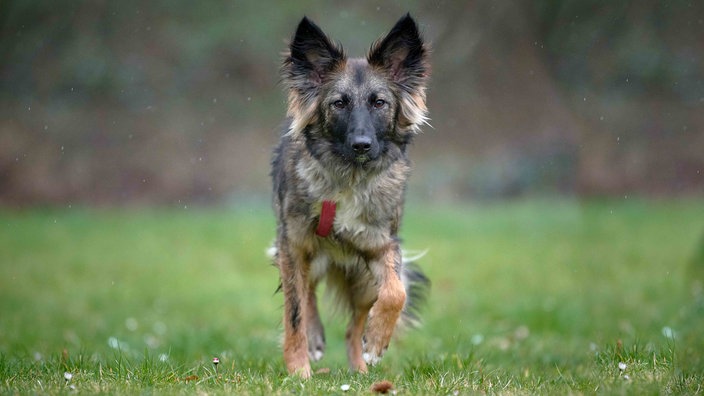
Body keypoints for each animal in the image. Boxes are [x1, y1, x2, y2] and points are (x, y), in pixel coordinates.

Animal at [272, 13, 432, 378]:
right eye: (339, 103)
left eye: (379, 102)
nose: (361, 144)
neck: (349, 179)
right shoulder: (293, 246)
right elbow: (295, 313)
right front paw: (298, 370)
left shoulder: (381, 245)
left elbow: (396, 292)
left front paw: (376, 341)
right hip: (310, 258)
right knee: (307, 293)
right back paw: (316, 339)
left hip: (360, 279)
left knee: (353, 325)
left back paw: (360, 367)